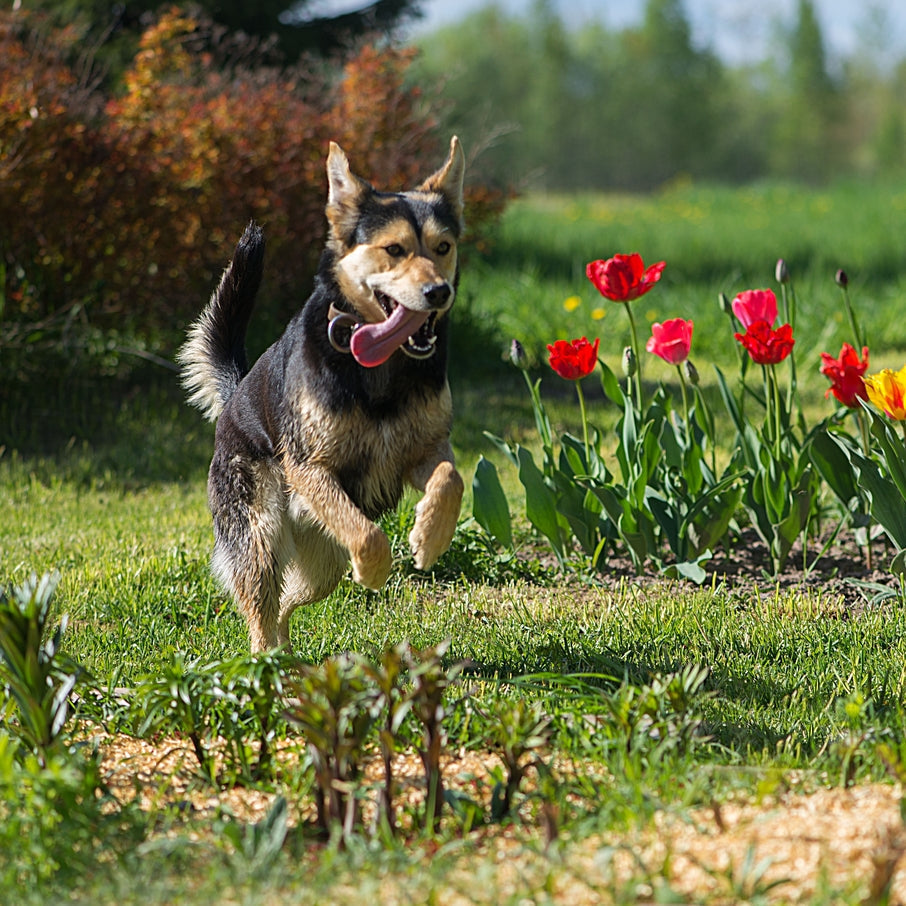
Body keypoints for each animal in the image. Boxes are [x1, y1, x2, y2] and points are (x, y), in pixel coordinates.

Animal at [176, 136, 462, 648]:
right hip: (260, 535)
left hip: (322, 562)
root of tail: (233, 398)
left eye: (443, 247)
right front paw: (375, 572)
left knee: (287, 601)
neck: (380, 367)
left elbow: (452, 479)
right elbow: (368, 535)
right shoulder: (311, 467)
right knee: (260, 610)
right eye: (394, 249)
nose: (439, 292)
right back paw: (263, 659)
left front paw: (430, 539)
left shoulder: (424, 449)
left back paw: (287, 655)